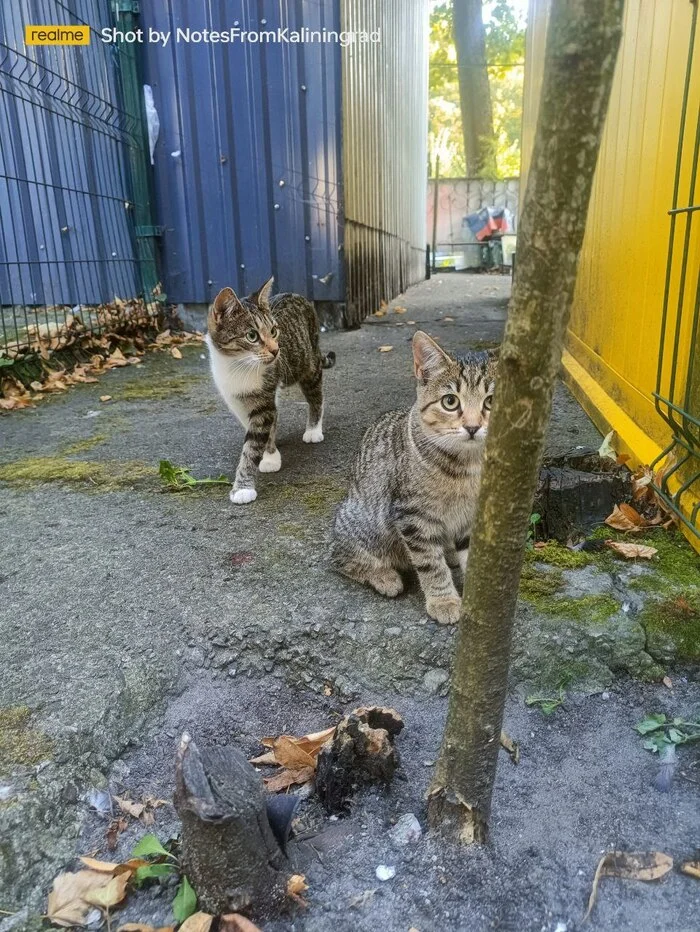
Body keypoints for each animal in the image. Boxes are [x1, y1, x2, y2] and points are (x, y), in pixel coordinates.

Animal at [206, 278, 334, 502]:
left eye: (274, 331)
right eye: (251, 336)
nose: (276, 350)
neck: (238, 367)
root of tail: (296, 294)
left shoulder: (264, 400)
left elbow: (252, 445)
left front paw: (244, 487)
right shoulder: (235, 400)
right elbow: (259, 429)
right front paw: (270, 454)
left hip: (307, 363)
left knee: (316, 395)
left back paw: (313, 429)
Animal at [330, 332, 498, 624]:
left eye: (490, 401)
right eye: (450, 401)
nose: (473, 427)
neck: (468, 466)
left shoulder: (471, 515)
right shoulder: (412, 516)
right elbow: (430, 564)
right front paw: (444, 600)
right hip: (363, 523)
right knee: (341, 555)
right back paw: (383, 576)